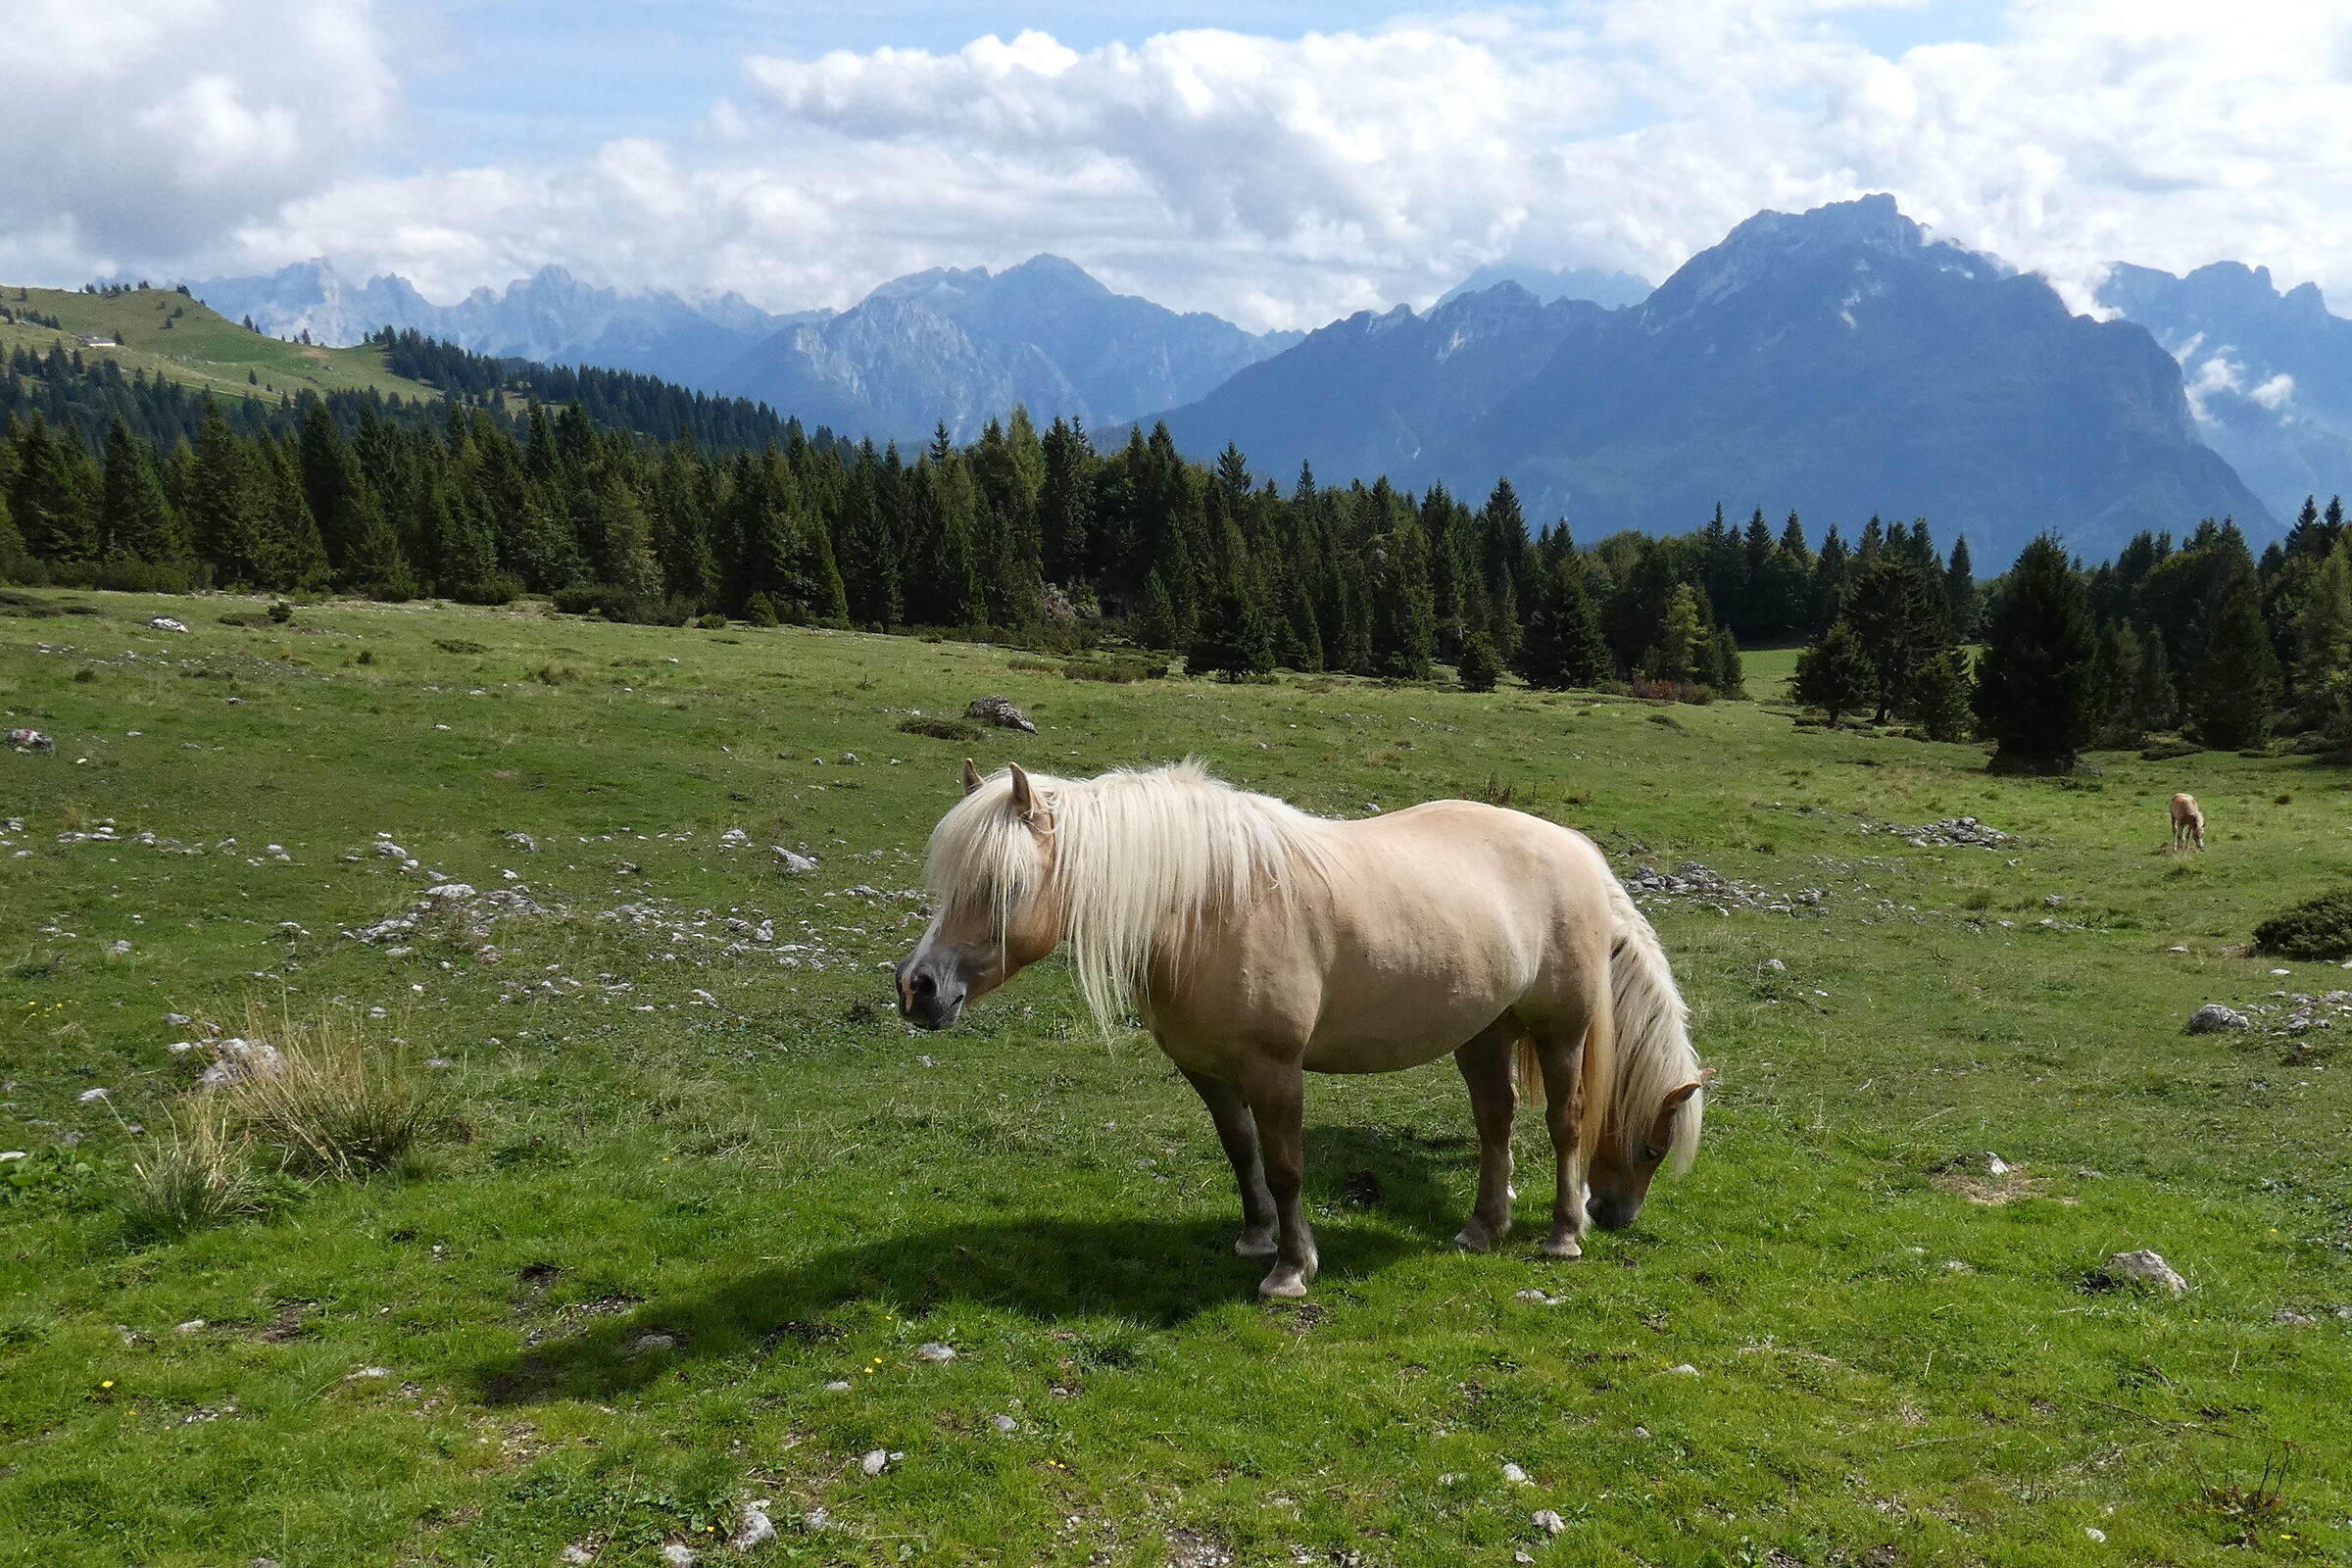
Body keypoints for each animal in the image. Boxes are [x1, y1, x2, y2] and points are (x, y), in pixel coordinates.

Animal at [895, 758, 1708, 1299]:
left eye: (1004, 887)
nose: (918, 988)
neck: (1205, 906)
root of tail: (1580, 854)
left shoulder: (1275, 1068)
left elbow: (1286, 1166)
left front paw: (1291, 1270)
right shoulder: (1208, 1069)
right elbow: (1241, 1152)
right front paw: (1256, 1239)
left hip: (1558, 1030)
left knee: (1566, 1123)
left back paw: (1563, 1235)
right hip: (1484, 1032)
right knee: (1495, 1123)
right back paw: (1482, 1228)